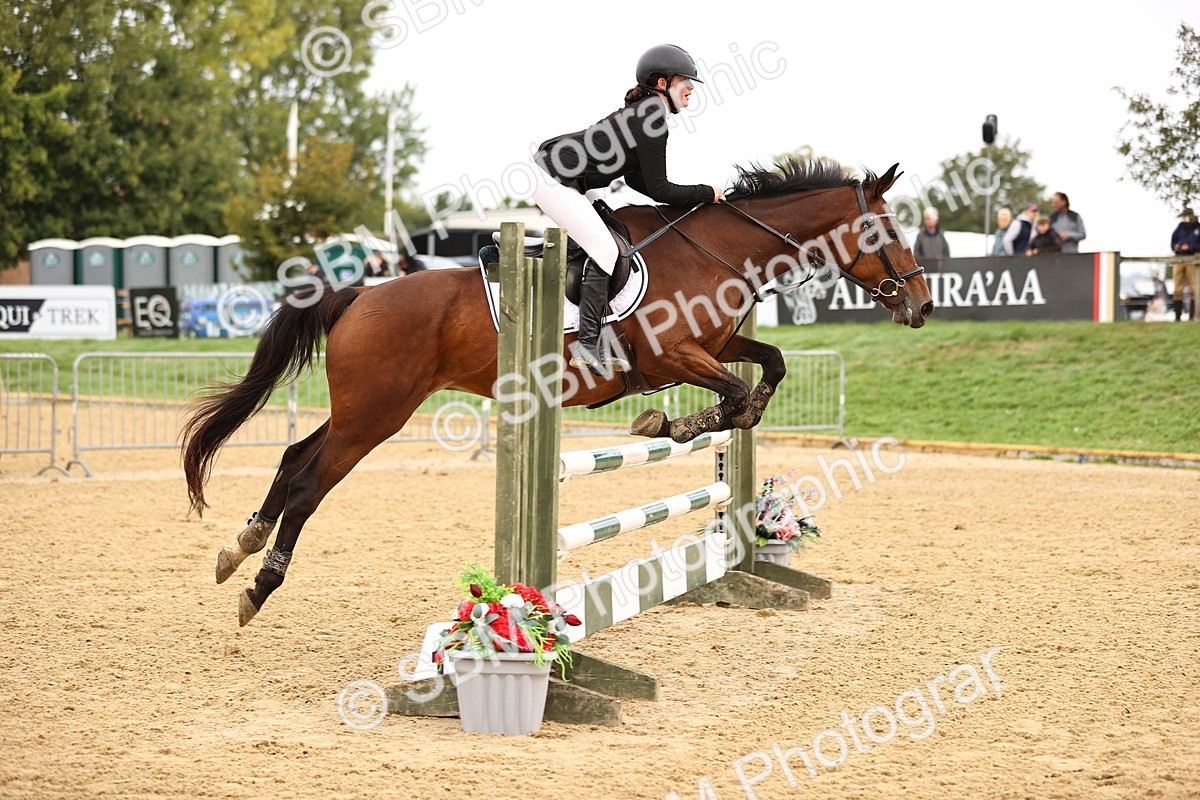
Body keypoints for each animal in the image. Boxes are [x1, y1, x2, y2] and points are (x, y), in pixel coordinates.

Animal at [182, 158, 934, 625]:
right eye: (884, 229)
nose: (922, 305)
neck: (715, 252)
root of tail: (359, 293)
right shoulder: (677, 354)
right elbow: (739, 399)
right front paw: (670, 425)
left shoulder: (719, 347)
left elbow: (767, 370)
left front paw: (681, 425)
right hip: (377, 414)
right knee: (311, 483)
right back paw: (259, 586)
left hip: (363, 409)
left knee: (292, 459)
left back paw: (238, 547)